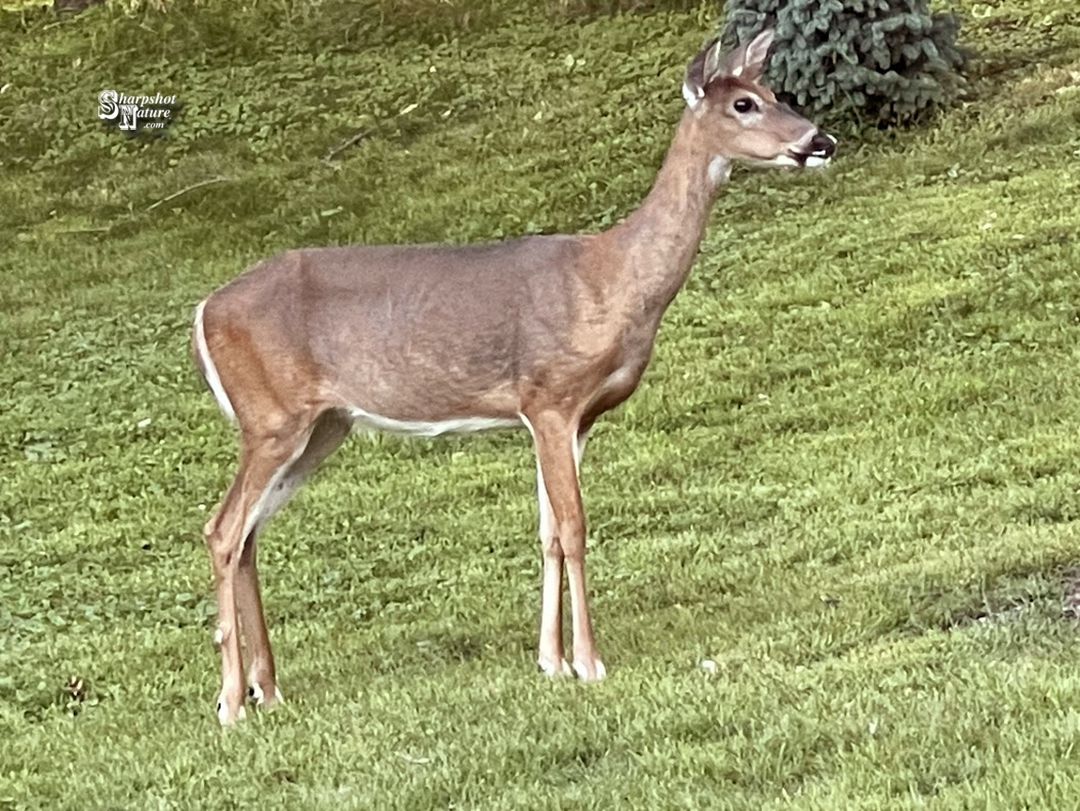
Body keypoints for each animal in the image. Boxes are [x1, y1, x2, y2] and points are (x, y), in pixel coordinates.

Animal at [194, 31, 833, 725]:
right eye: (744, 103)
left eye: (774, 92)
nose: (819, 140)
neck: (613, 280)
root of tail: (204, 311)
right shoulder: (549, 396)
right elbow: (575, 528)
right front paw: (588, 662)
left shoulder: (574, 417)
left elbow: (548, 531)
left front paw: (550, 661)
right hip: (270, 416)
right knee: (222, 530)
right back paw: (230, 700)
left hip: (323, 425)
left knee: (249, 534)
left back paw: (268, 688)